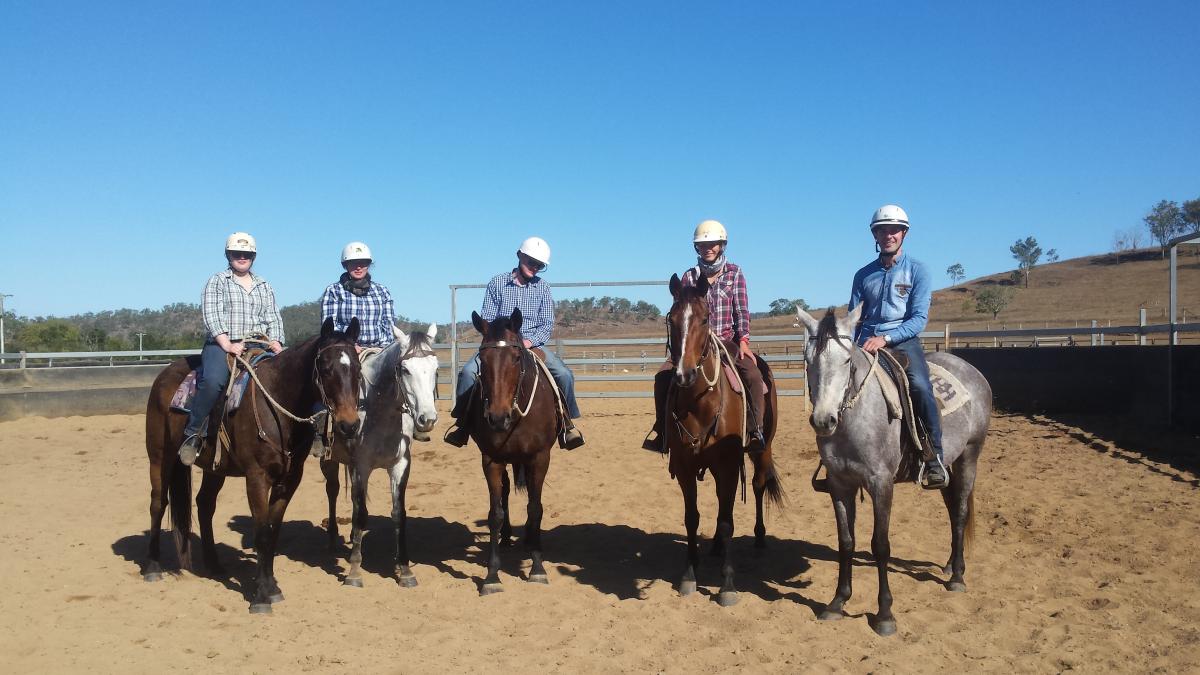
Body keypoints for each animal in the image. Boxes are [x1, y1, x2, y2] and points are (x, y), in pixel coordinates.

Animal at [143, 314, 362, 610]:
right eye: (326, 369)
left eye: (358, 369)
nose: (349, 425)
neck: (279, 402)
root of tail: (164, 375)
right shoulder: (256, 477)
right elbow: (261, 532)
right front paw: (261, 596)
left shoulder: (290, 479)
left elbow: (272, 530)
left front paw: (271, 586)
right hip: (159, 457)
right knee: (158, 503)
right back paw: (153, 567)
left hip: (215, 468)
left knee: (205, 505)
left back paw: (214, 564)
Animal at [321, 324, 444, 586]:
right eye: (405, 370)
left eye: (436, 368)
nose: (427, 419)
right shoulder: (361, 466)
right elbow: (361, 514)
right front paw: (354, 571)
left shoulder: (400, 465)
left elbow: (398, 514)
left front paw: (405, 570)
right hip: (328, 461)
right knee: (333, 491)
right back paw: (333, 538)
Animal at [460, 306, 559, 593]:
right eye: (482, 357)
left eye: (516, 358)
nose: (496, 417)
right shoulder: (491, 460)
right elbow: (495, 513)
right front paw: (492, 575)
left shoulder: (540, 458)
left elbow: (535, 508)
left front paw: (537, 567)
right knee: (504, 493)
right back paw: (506, 538)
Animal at [662, 273, 782, 605]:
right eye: (671, 318)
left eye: (705, 318)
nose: (684, 375)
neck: (700, 404)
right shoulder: (685, 467)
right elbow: (692, 517)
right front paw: (689, 573)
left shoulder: (728, 466)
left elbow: (728, 522)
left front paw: (727, 584)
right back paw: (715, 545)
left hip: (762, 449)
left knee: (758, 485)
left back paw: (759, 536)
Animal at [796, 305, 993, 634]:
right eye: (807, 359)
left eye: (847, 360)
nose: (824, 421)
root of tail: (971, 370)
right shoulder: (840, 484)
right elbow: (846, 542)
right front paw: (838, 602)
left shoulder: (881, 484)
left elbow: (880, 545)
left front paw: (885, 613)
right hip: (948, 466)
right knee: (954, 509)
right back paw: (951, 565)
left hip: (969, 455)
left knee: (961, 513)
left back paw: (957, 577)